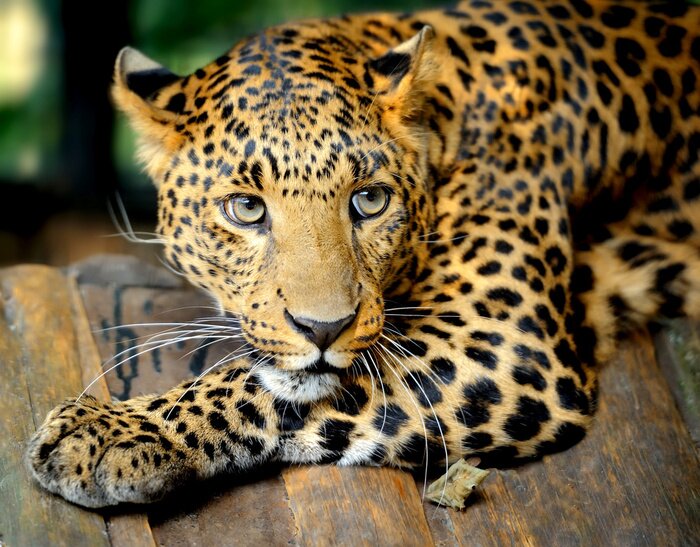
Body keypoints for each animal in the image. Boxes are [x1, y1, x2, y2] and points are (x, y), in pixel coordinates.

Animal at [27, 0, 700, 508]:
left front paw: (114, 431)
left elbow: (270, 385)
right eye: (246, 209)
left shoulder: (506, 342)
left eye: (369, 200)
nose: (323, 328)